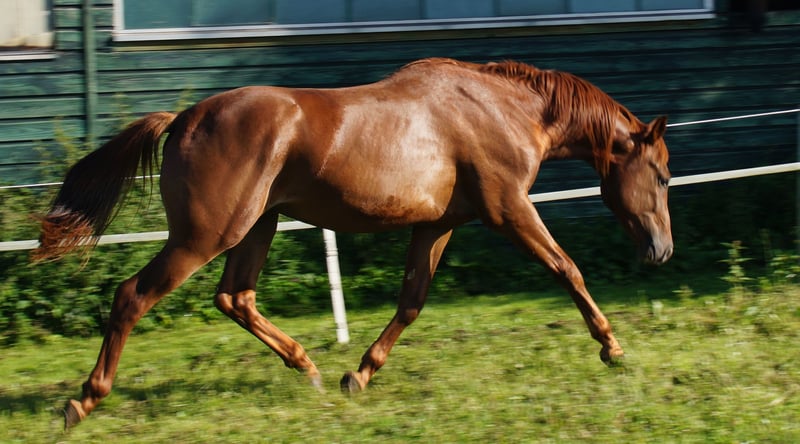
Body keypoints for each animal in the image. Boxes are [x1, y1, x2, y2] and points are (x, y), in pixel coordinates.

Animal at [34, 57, 673, 429]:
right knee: (133, 296)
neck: (502, 108)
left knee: (235, 297)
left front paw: (359, 375)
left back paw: (309, 369)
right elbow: (568, 270)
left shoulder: (437, 224)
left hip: (256, 227)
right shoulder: (508, 209)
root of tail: (184, 117)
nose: (661, 251)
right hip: (205, 234)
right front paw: (613, 349)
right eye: (663, 176)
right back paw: (82, 402)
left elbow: (411, 302)